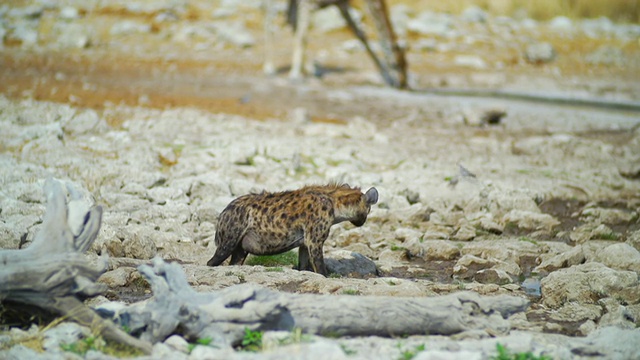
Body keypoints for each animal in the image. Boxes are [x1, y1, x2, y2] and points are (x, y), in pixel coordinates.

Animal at [262, 0, 408, 89]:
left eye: (406, 65)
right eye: (397, 65)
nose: (402, 84)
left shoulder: (341, 5)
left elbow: (361, 35)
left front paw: (386, 76)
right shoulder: (308, 3)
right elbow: (302, 36)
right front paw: (294, 75)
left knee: (289, 20)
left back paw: (311, 68)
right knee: (270, 22)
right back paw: (270, 67)